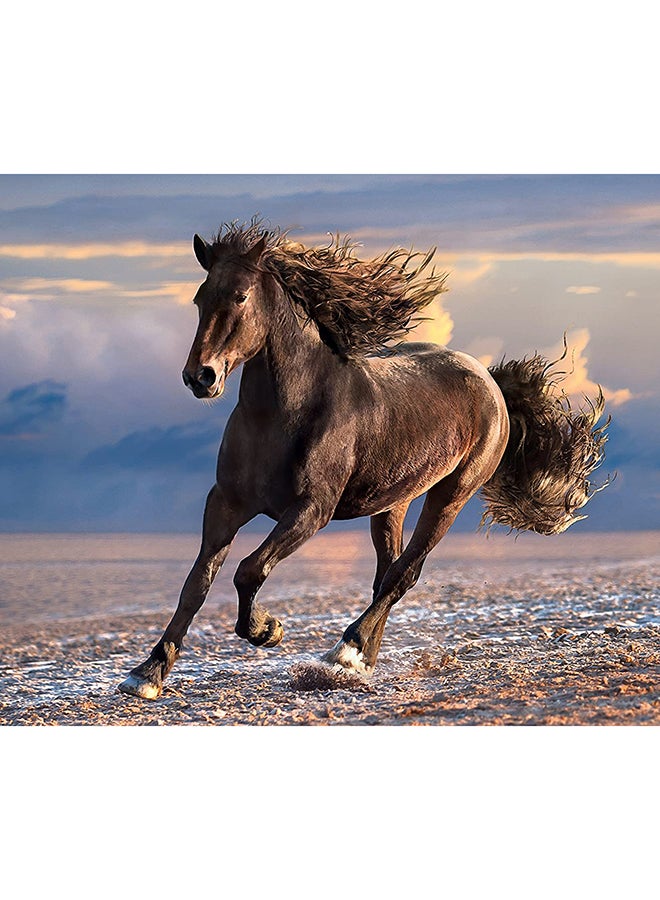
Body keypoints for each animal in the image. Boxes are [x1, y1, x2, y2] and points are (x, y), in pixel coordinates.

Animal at [119, 220, 609, 700]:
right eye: (200, 298)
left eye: (240, 296)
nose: (200, 377)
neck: (283, 414)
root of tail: (489, 380)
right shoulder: (226, 503)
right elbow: (197, 584)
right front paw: (147, 673)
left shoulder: (311, 511)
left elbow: (248, 570)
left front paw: (267, 630)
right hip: (393, 502)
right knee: (386, 573)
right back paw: (362, 662)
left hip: (451, 495)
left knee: (404, 573)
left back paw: (346, 652)